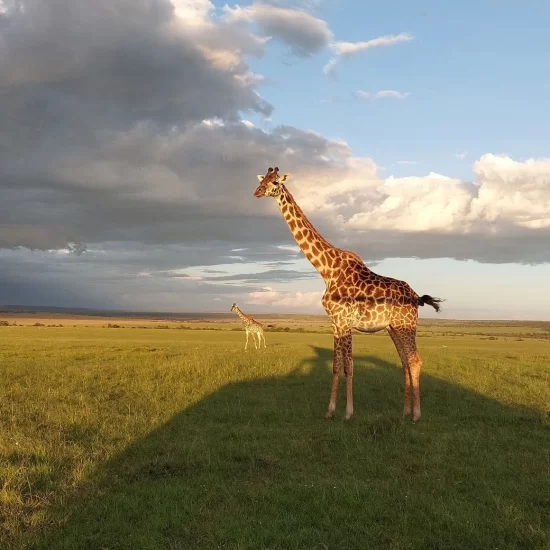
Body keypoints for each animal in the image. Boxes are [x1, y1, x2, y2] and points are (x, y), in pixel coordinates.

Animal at [254, 167, 444, 422]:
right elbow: (336, 366)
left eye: (274, 182)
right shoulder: (335, 323)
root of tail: (416, 297)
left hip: (406, 325)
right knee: (405, 361)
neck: (327, 269)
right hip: (393, 327)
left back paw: (416, 415)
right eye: (262, 179)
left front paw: (348, 412)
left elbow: (349, 366)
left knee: (414, 360)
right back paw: (404, 412)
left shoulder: (345, 321)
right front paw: (330, 411)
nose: (257, 191)